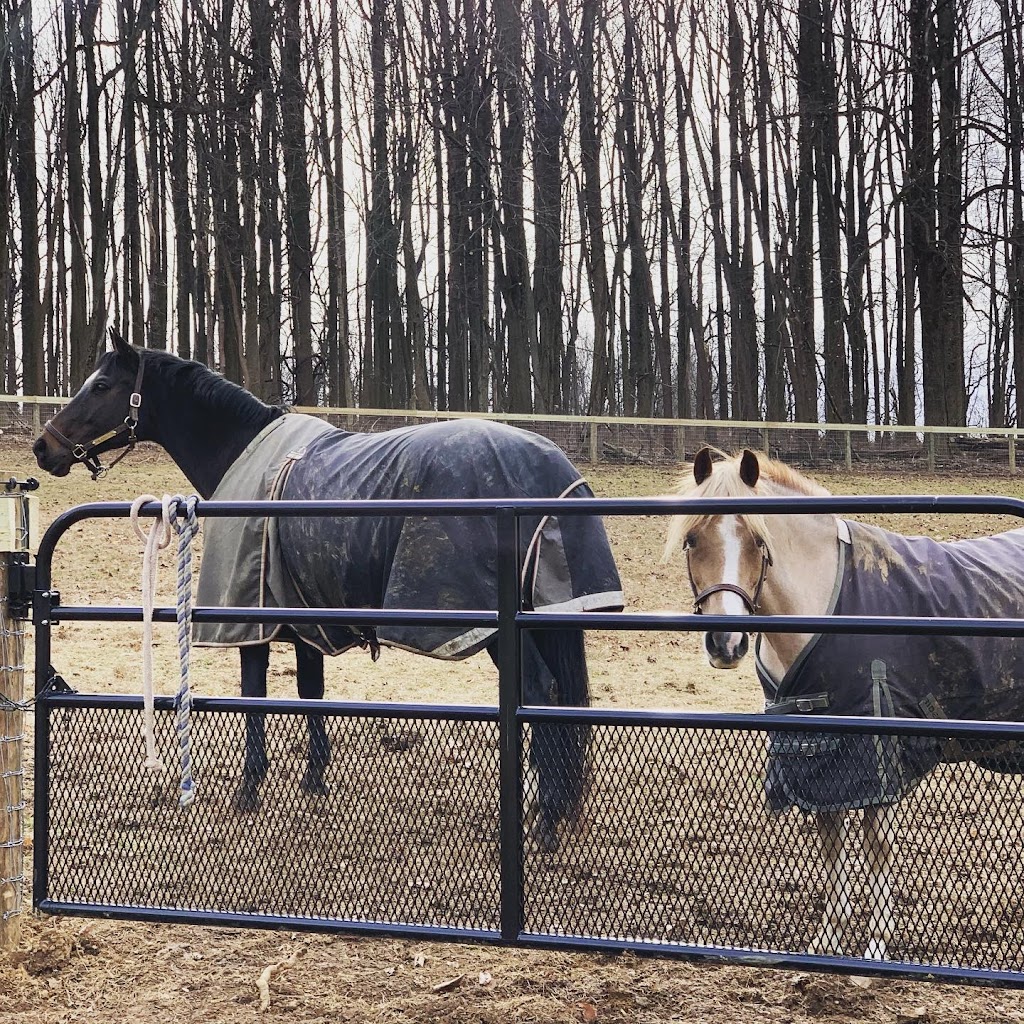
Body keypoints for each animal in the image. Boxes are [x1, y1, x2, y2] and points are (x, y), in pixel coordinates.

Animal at [34, 331, 622, 851]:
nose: (44, 447)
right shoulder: (303, 614)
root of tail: (550, 471)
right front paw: (314, 782)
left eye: (102, 385)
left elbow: (253, 696)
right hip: (543, 614)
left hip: (505, 630)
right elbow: (310, 690)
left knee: (539, 693)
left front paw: (250, 790)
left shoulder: (253, 615)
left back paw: (544, 823)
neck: (243, 453)